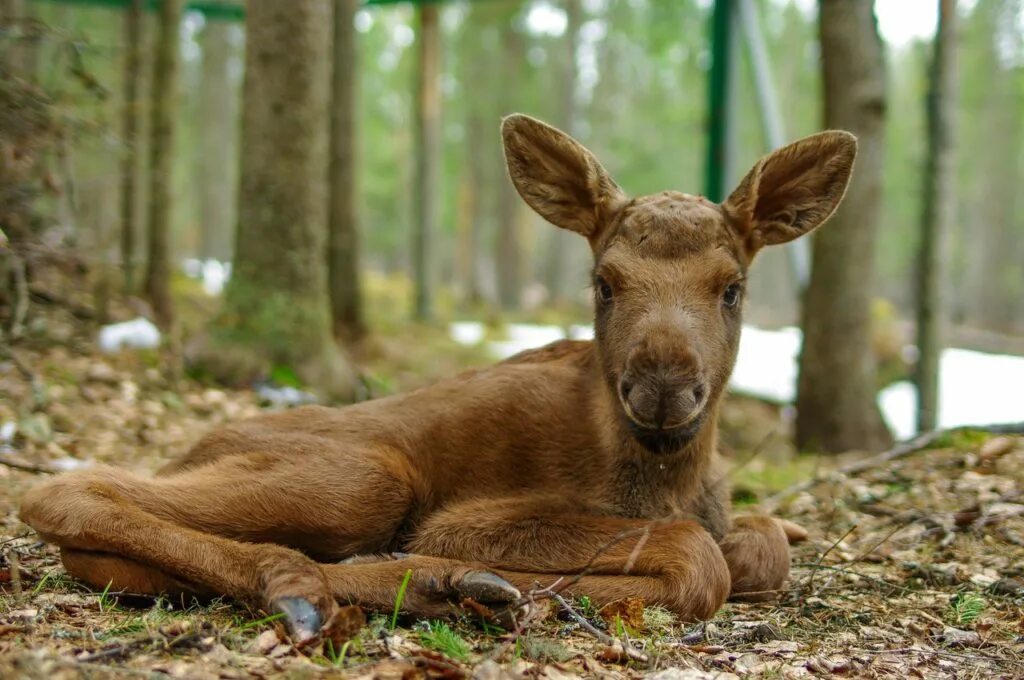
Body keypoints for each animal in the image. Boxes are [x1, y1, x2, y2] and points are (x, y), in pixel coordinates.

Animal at [24, 115, 856, 643]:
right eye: (604, 283)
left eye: (732, 288)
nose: (662, 388)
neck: (665, 475)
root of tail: (190, 450)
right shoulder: (466, 519)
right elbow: (699, 561)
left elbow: (764, 542)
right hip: (368, 476)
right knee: (62, 489)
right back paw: (342, 582)